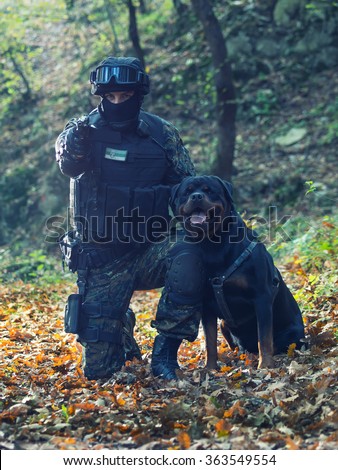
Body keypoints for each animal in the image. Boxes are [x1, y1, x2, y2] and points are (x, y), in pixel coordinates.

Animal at [170, 174, 304, 370]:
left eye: (209, 190)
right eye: (187, 192)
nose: (196, 196)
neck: (213, 244)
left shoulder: (262, 297)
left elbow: (264, 338)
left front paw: (264, 366)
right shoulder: (206, 304)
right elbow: (210, 341)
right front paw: (210, 368)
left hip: (292, 333)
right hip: (225, 324)